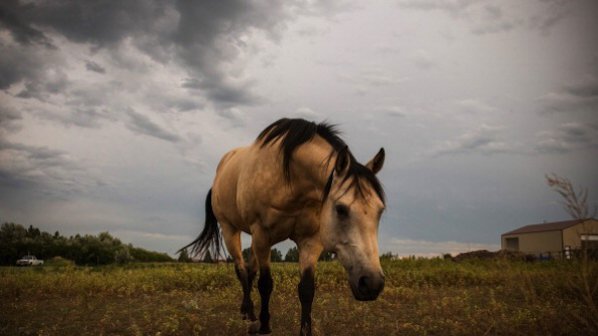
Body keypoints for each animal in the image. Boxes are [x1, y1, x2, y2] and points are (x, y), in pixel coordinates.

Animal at [183, 117, 390, 334]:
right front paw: (264, 326)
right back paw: (248, 313)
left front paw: (304, 331)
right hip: (230, 229)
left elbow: (306, 289)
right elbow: (265, 284)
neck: (289, 181)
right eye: (341, 209)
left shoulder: (310, 240)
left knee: (250, 271)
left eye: (380, 210)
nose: (372, 283)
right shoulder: (262, 235)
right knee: (241, 271)